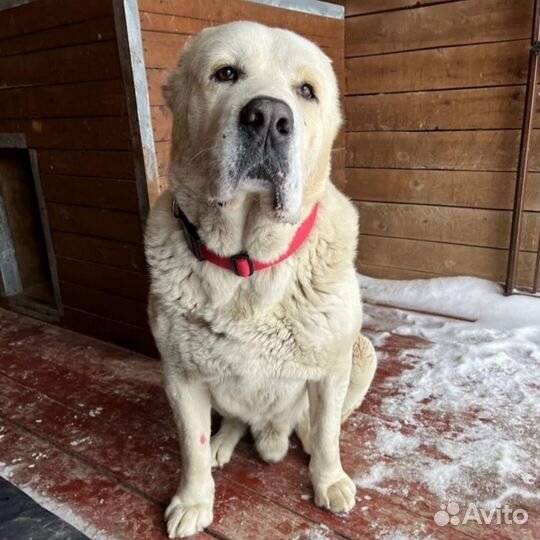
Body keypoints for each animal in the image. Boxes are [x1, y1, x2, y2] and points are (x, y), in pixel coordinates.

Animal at [146, 20, 378, 536]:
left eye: (307, 91)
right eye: (226, 73)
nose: (269, 117)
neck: (247, 263)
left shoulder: (333, 368)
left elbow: (329, 434)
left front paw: (328, 481)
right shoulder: (180, 375)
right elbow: (189, 447)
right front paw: (193, 500)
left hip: (362, 354)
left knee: (317, 425)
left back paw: (305, 439)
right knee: (232, 421)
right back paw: (223, 442)